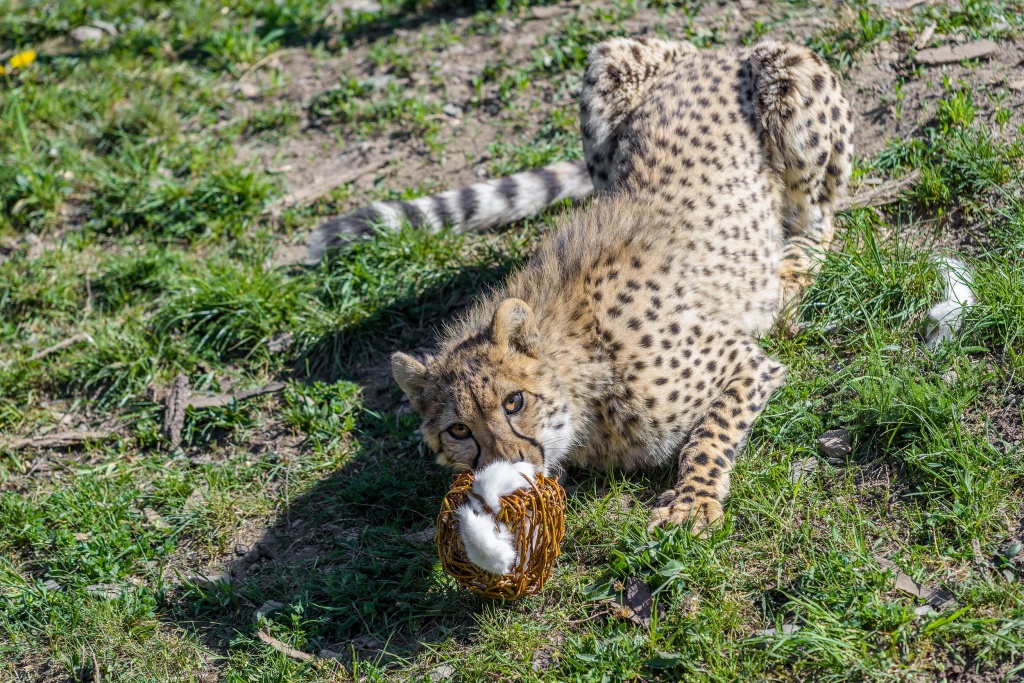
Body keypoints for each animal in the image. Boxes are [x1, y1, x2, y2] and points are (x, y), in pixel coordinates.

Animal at [317, 37, 847, 532]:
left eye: (514, 401)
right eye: (459, 430)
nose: (505, 469)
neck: (582, 374)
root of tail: (717, 50)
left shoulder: (744, 363)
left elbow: (708, 434)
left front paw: (692, 501)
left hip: (790, 79)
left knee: (821, 222)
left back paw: (788, 277)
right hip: (605, 68)